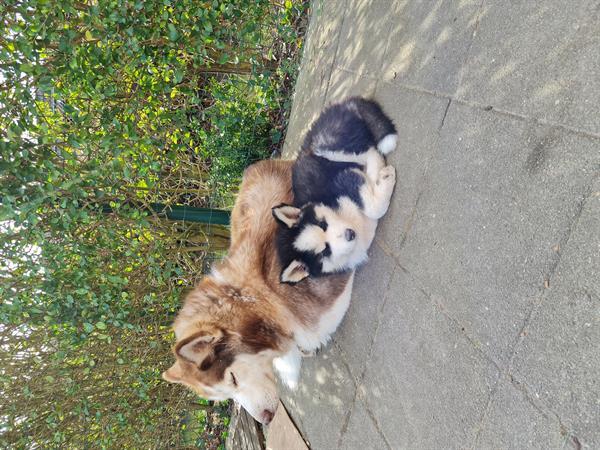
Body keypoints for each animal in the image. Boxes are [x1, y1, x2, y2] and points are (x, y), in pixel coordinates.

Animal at [274, 96, 398, 284]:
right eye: (325, 251)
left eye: (322, 224)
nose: (349, 234)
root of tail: (343, 102)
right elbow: (374, 207)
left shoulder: (342, 178)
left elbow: (373, 207)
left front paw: (381, 176)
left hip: (324, 146)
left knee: (368, 151)